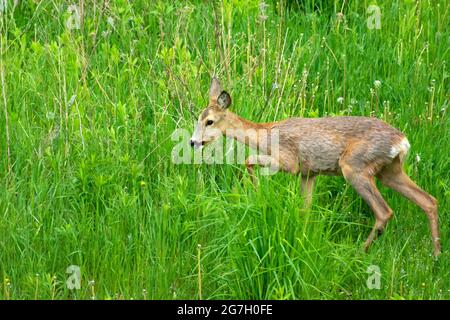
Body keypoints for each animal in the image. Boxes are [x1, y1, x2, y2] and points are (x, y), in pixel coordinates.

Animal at [188, 76, 442, 256]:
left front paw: (256, 191)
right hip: (389, 171)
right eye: (197, 118)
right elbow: (305, 208)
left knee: (384, 211)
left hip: (355, 166)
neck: (267, 135)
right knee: (429, 200)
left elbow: (248, 160)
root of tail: (402, 142)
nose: (192, 142)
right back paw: (436, 254)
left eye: (209, 121)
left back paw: (359, 252)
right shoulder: (308, 173)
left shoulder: (288, 161)